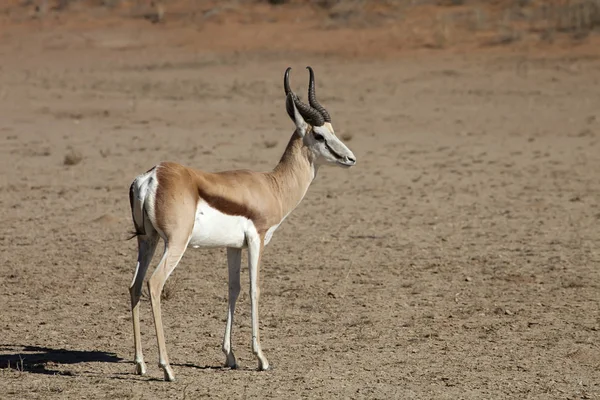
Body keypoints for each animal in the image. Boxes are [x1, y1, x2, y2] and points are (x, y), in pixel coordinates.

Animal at [127, 66, 356, 382]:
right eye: (320, 135)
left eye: (333, 131)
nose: (350, 158)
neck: (272, 186)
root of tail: (152, 176)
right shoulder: (257, 239)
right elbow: (254, 288)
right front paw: (261, 358)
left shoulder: (233, 247)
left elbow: (233, 288)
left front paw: (230, 356)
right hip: (175, 243)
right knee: (154, 283)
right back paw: (167, 368)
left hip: (147, 240)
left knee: (134, 286)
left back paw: (140, 363)